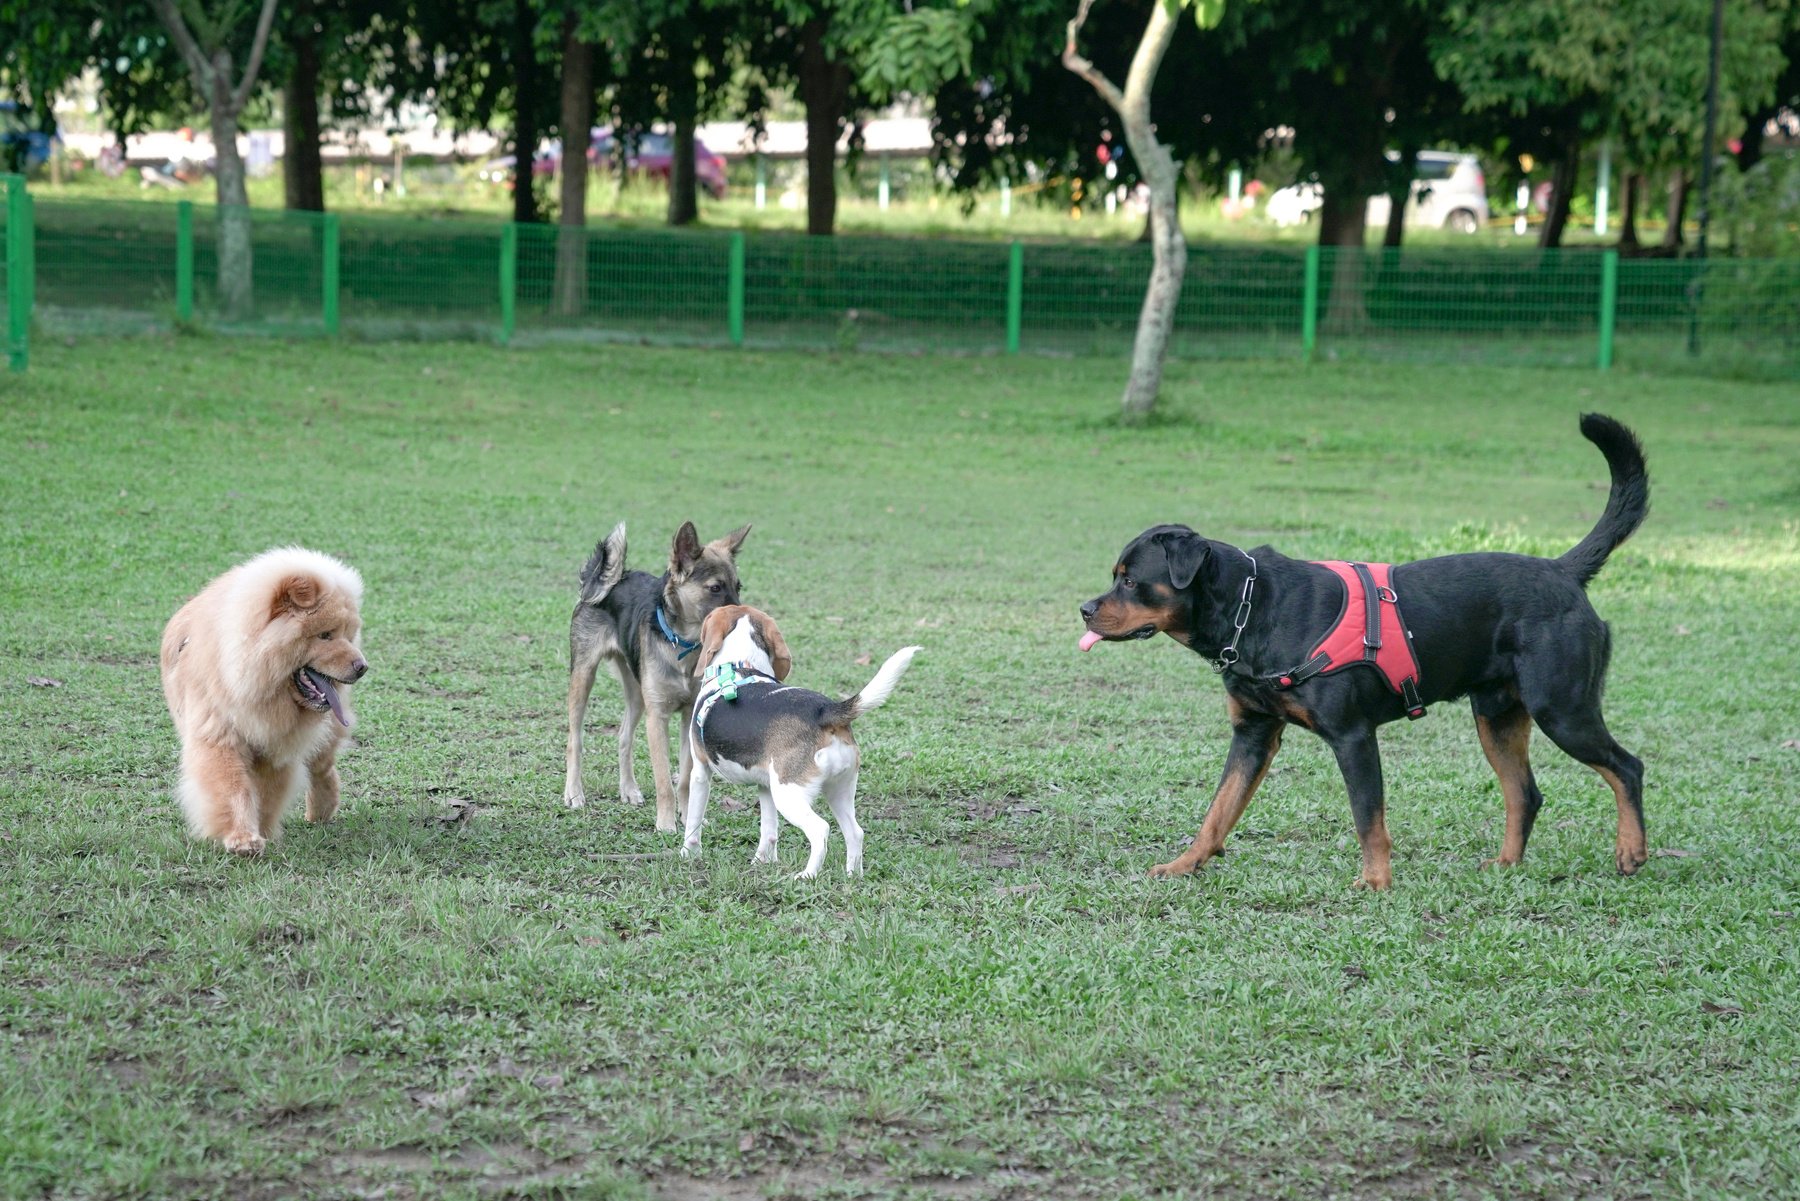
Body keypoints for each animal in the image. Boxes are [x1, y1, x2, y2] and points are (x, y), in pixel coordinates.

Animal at [568, 522, 752, 831]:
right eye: (715, 588)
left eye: (738, 586)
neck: (684, 644)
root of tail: (608, 580)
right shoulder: (658, 718)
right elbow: (664, 779)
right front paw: (666, 824)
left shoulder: (688, 717)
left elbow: (685, 777)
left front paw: (688, 817)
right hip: (583, 677)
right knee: (574, 740)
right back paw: (573, 793)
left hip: (636, 690)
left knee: (623, 736)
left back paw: (628, 790)